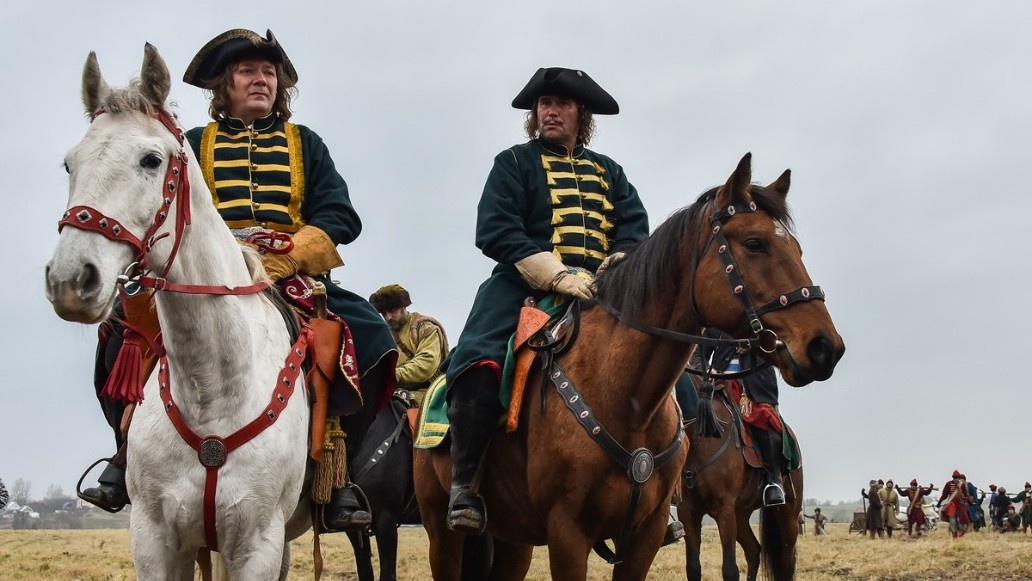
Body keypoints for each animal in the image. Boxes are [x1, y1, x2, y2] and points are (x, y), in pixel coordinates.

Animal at [45, 44, 309, 577]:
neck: (213, 388)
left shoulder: (258, 543)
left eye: (151, 159)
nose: (70, 280)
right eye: (69, 164)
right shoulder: (155, 540)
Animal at [676, 385, 804, 581]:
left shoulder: (725, 509)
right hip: (742, 514)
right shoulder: (687, 512)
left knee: (786, 563)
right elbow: (693, 569)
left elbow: (730, 570)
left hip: (788, 513)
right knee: (753, 551)